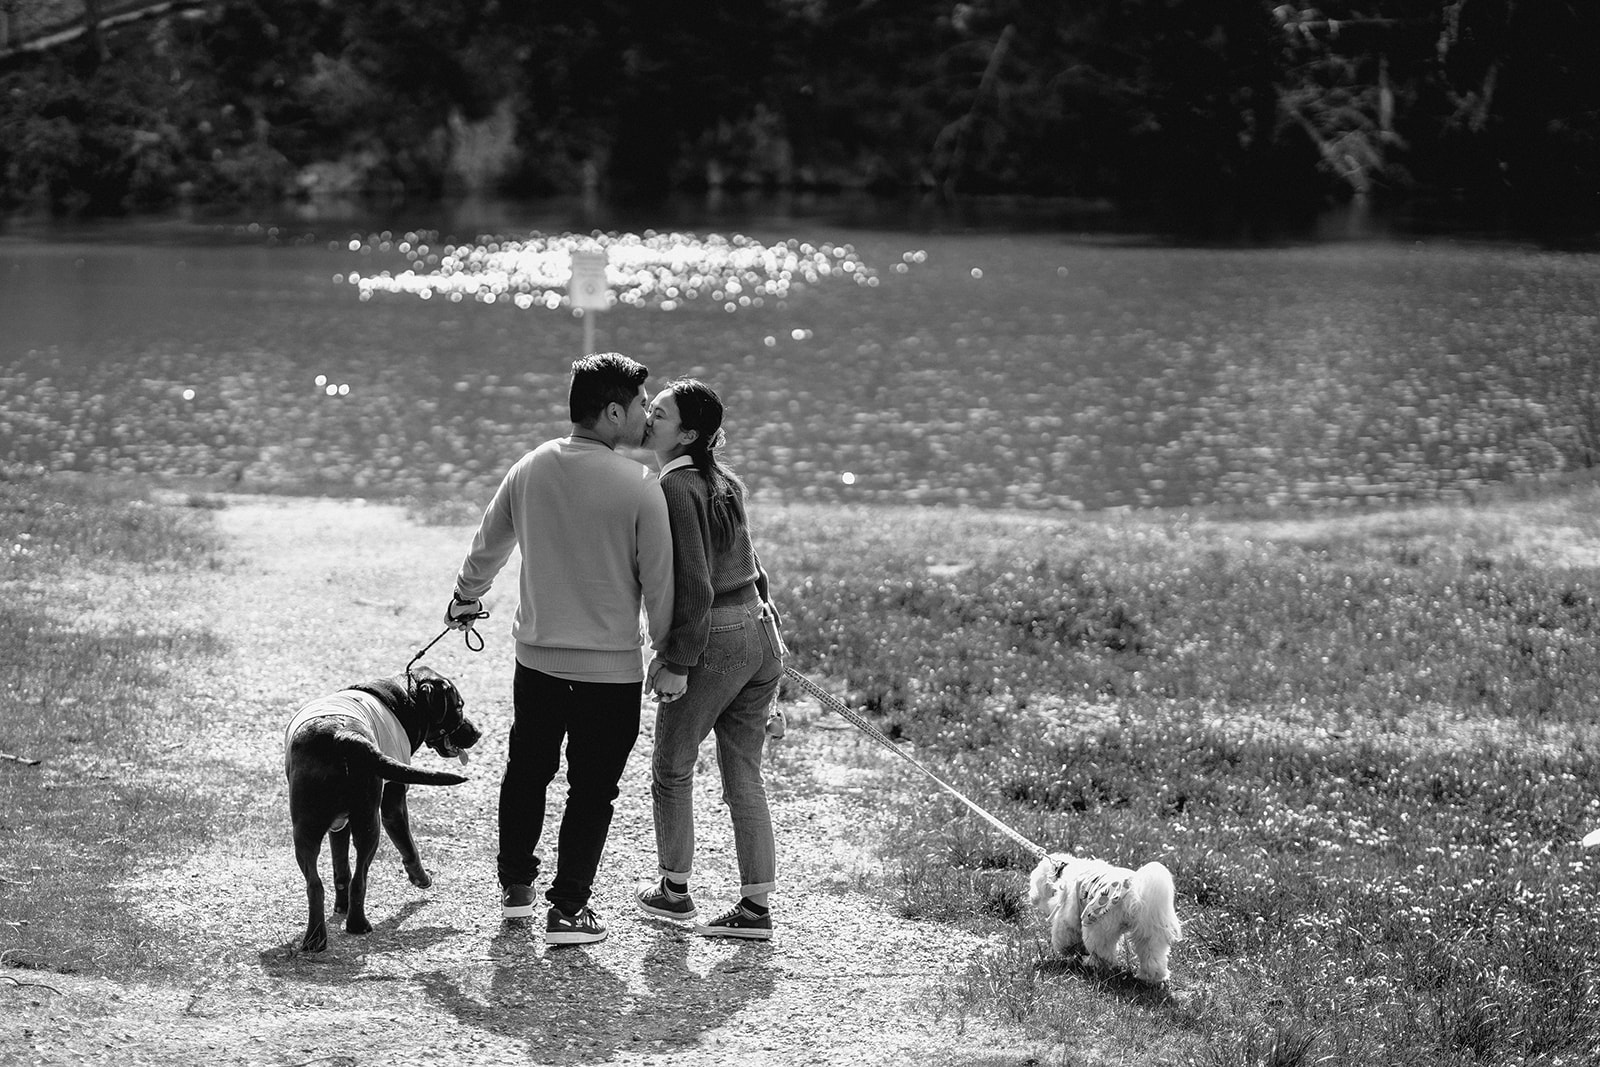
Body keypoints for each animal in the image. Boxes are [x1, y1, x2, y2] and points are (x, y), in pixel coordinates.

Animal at [286, 668, 480, 953]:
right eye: (459, 706)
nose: (477, 732)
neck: (403, 698)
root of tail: (343, 736)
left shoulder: (339, 825)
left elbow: (340, 867)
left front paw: (341, 906)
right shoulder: (393, 803)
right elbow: (409, 846)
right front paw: (421, 877)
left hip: (306, 830)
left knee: (316, 885)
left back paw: (315, 938)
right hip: (370, 823)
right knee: (360, 879)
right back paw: (358, 925)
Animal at [1030, 851, 1184, 985]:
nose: (1032, 898)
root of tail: (1133, 889)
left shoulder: (1068, 916)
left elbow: (1064, 936)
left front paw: (1068, 949)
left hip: (1098, 923)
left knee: (1102, 952)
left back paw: (1092, 963)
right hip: (1149, 932)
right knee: (1152, 956)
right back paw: (1151, 977)